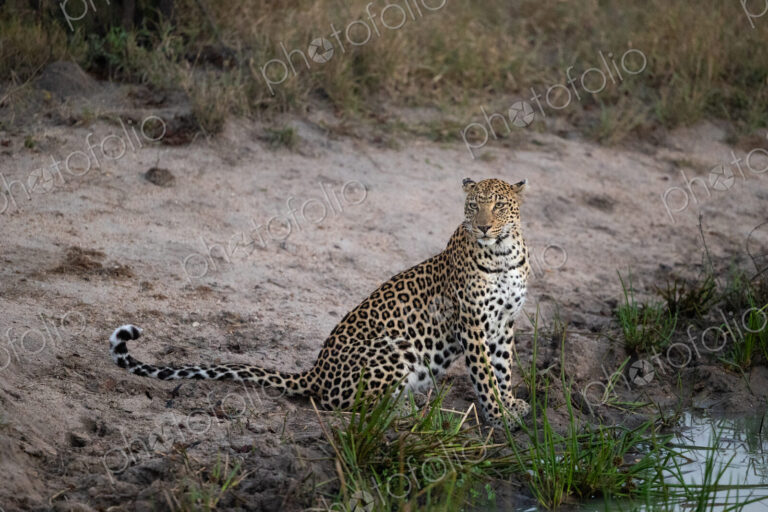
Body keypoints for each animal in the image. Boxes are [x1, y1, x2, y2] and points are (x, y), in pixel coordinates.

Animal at [109, 177, 532, 427]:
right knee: (347, 404)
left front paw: (512, 405)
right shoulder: (472, 325)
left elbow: (503, 369)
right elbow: (485, 375)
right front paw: (499, 416)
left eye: (499, 205)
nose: (484, 226)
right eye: (474, 205)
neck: (502, 253)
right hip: (394, 351)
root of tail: (315, 371)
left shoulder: (503, 323)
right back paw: (405, 409)